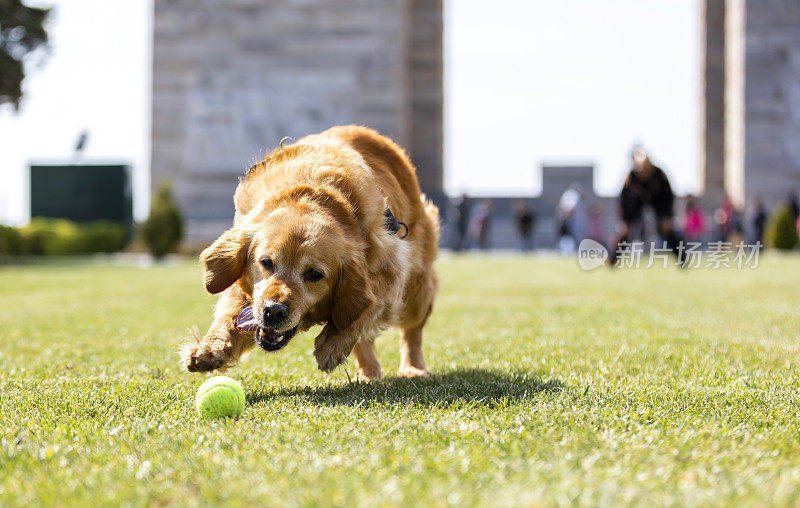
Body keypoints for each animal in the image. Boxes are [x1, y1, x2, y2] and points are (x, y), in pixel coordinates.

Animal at [180, 126, 440, 380]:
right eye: (266, 262)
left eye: (315, 274)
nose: (273, 312)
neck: (315, 193)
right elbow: (230, 313)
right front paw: (211, 347)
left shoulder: (392, 268)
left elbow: (368, 303)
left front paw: (333, 343)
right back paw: (368, 372)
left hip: (417, 285)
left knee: (411, 331)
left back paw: (413, 368)